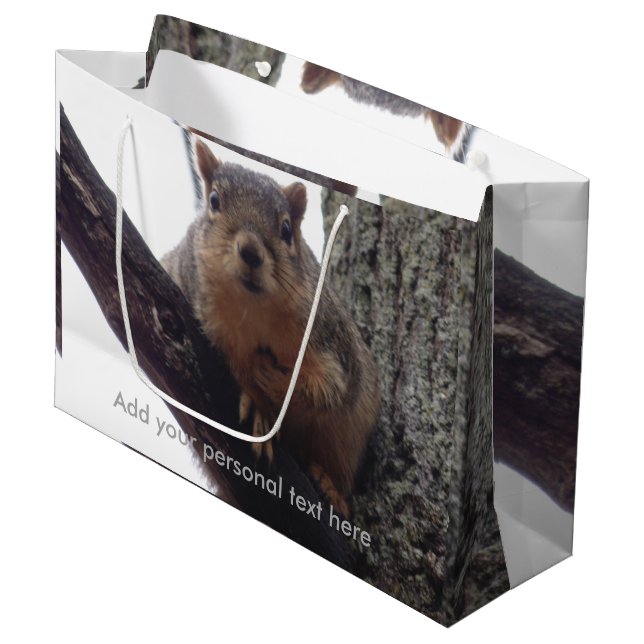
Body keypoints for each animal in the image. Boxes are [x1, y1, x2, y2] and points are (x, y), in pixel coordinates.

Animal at [161, 138, 380, 515]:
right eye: (214, 201)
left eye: (287, 229)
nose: (251, 251)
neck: (253, 310)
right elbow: (237, 368)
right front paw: (258, 406)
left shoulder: (329, 339)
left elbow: (327, 390)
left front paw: (270, 378)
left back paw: (329, 484)